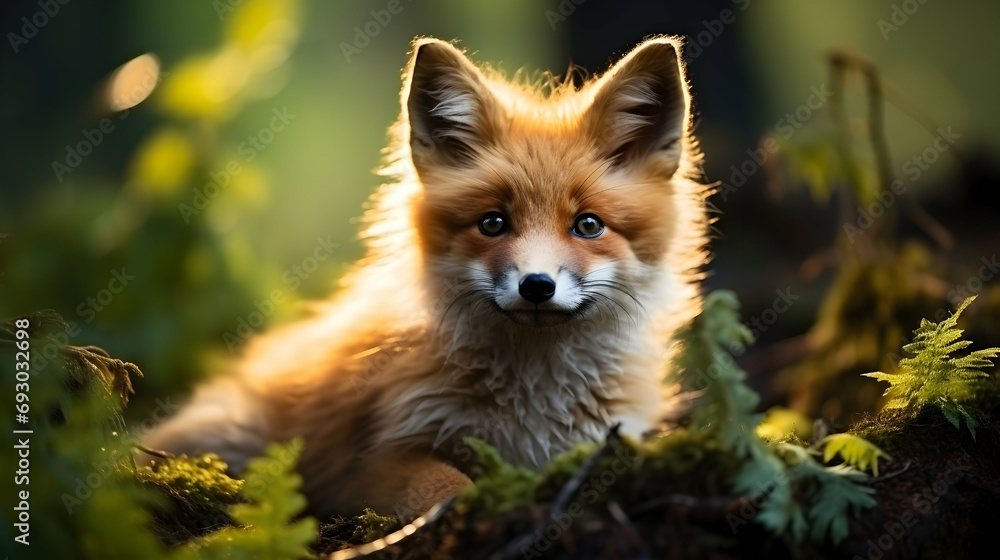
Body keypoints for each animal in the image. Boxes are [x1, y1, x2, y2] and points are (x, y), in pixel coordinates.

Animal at [144, 35, 709, 518]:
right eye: (492, 223)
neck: (532, 399)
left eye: (588, 225)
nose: (536, 286)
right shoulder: (371, 462)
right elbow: (448, 486)